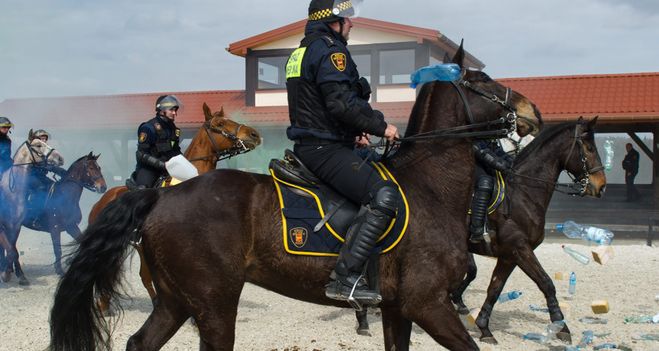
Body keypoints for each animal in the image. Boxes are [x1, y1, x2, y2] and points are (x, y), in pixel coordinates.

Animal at [51, 45, 544, 350]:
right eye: (482, 80)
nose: (533, 112)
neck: (430, 185)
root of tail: (161, 199)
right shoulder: (430, 304)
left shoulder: (398, 309)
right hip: (213, 302)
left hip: (177, 300)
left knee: (141, 341)